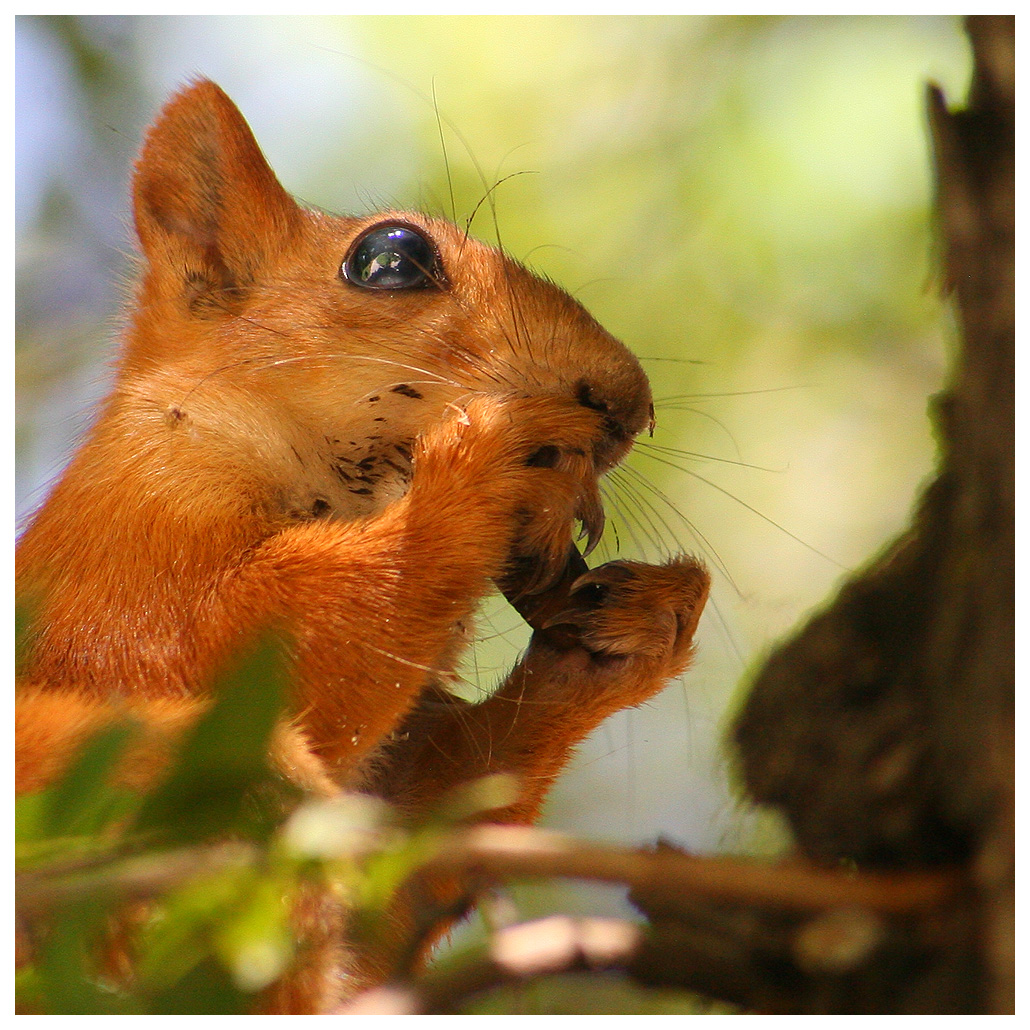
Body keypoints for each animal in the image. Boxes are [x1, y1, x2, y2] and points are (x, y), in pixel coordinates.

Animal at [14, 82, 708, 1013]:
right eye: (391, 258)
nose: (629, 406)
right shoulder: (121, 551)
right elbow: (230, 645)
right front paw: (487, 466)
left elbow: (414, 862)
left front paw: (639, 624)